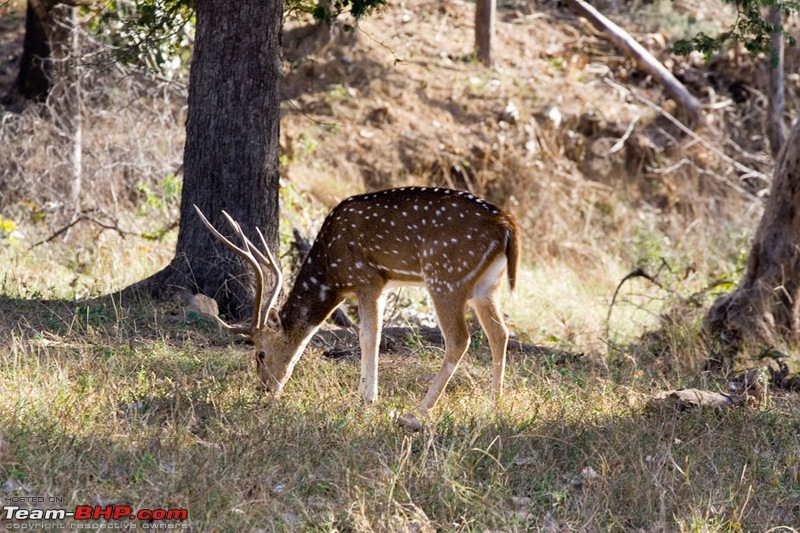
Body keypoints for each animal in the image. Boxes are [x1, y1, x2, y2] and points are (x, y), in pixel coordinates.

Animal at [194, 186, 520, 412]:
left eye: (260, 354)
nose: (264, 388)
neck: (331, 272)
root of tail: (508, 224)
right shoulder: (381, 284)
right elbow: (370, 335)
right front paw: (364, 394)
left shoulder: (367, 279)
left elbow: (368, 336)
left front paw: (367, 398)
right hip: (487, 285)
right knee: (499, 332)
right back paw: (494, 404)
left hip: (446, 276)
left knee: (459, 338)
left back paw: (422, 408)